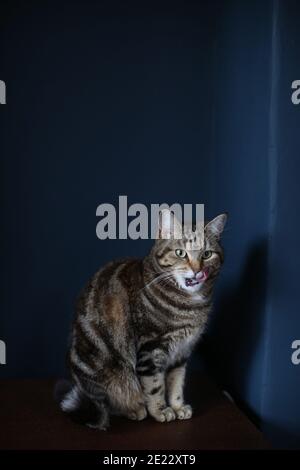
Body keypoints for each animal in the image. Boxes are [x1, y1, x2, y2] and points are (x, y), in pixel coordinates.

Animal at [58, 210, 226, 430]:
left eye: (207, 254)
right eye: (180, 253)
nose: (197, 270)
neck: (191, 305)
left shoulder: (182, 352)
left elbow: (176, 383)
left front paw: (178, 406)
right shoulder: (151, 348)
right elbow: (155, 386)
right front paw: (161, 411)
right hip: (107, 372)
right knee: (109, 403)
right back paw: (133, 410)